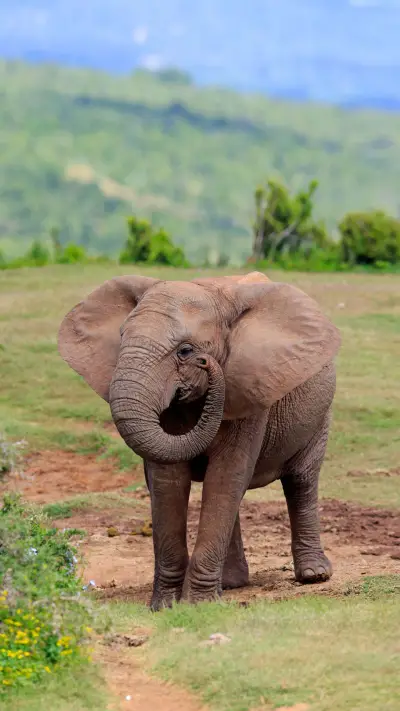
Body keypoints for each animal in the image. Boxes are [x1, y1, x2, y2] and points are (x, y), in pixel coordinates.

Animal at [58, 271, 341, 610]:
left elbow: (226, 474)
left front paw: (198, 605)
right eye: (122, 337)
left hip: (320, 411)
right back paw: (231, 583)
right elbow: (169, 480)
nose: (206, 364)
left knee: (300, 480)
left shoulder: (249, 386)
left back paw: (313, 575)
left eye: (186, 351)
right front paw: (166, 605)